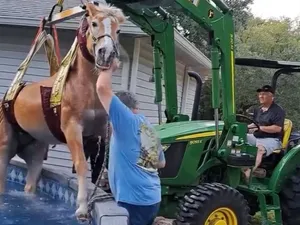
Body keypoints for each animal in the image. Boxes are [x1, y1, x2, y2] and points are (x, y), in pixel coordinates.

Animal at [0, 1, 125, 220]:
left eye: (118, 30)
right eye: (93, 23)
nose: (106, 54)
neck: (84, 87)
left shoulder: (103, 129)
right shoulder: (72, 128)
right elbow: (81, 163)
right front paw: (82, 207)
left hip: (35, 151)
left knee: (30, 184)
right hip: (4, 148)